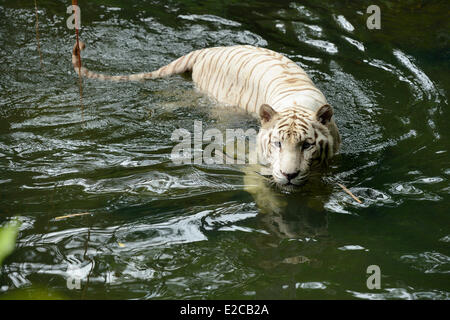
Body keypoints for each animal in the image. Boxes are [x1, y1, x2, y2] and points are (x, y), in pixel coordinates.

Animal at [73, 42, 342, 188]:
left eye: (307, 145)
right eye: (277, 144)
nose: (289, 175)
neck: (296, 102)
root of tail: (206, 51)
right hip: (204, 95)